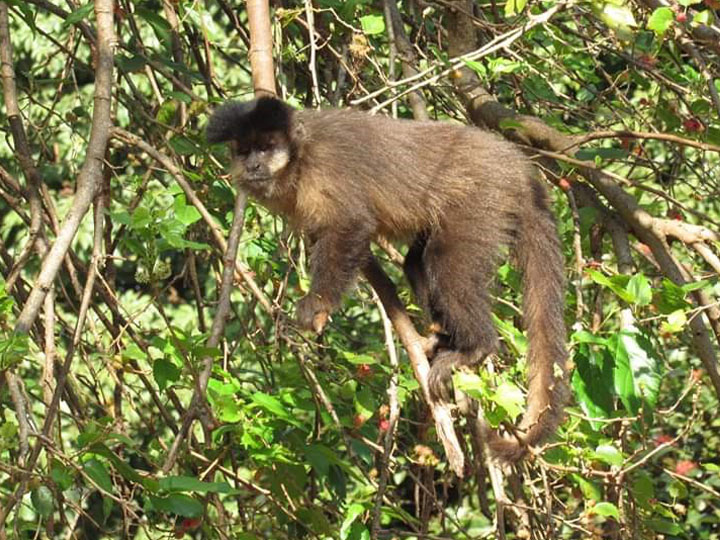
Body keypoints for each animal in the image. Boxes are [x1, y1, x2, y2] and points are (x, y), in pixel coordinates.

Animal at [207, 96, 568, 460]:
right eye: (245, 151)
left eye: (266, 148)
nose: (253, 166)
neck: (299, 159)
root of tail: (516, 166)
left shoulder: (325, 167)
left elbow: (350, 225)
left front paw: (318, 303)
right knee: (417, 264)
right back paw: (442, 337)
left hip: (482, 199)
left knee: (447, 266)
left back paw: (475, 348)